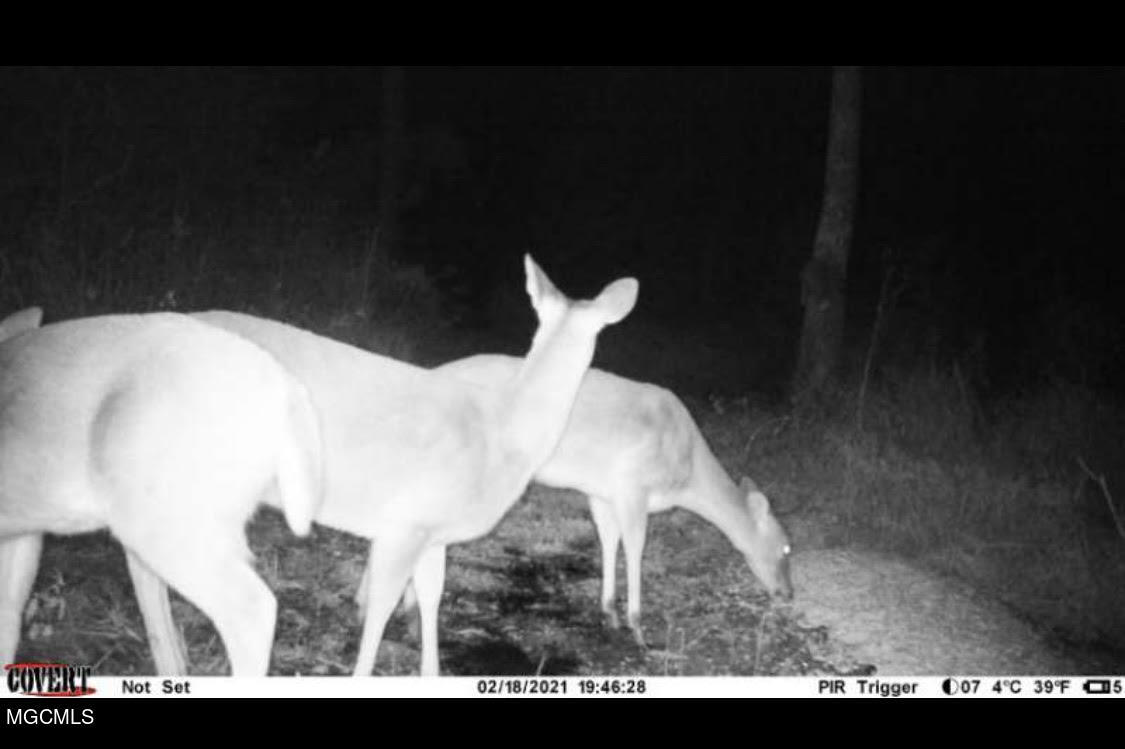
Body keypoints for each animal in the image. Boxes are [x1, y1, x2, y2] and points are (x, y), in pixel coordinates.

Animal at [403, 354, 794, 648]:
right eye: (787, 548)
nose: (789, 594)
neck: (686, 472)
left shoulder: (603, 491)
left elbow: (609, 540)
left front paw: (609, 612)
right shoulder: (633, 483)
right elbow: (635, 547)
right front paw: (638, 627)